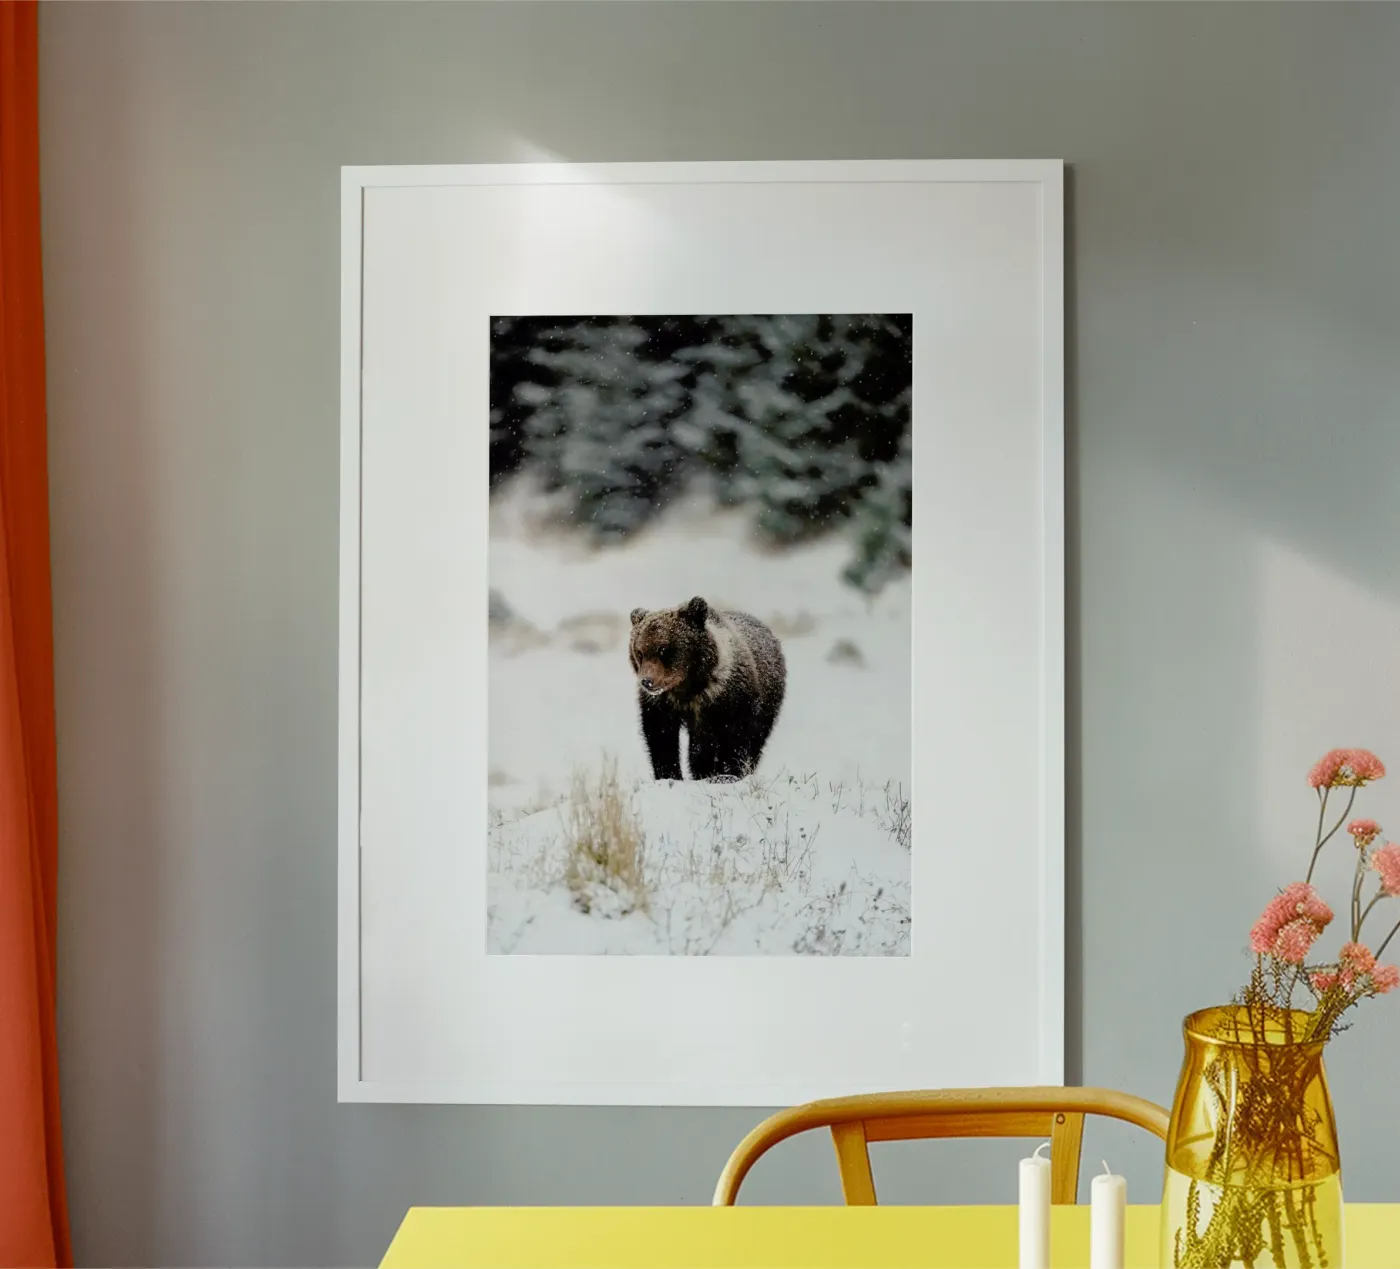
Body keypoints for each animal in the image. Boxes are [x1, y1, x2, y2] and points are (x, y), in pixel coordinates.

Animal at [627, 596, 786, 782]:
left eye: (663, 649)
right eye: (639, 652)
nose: (647, 681)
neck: (687, 689)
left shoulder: (729, 700)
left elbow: (733, 739)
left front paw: (726, 774)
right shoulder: (661, 704)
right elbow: (661, 738)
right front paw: (670, 775)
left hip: (768, 701)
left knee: (757, 739)